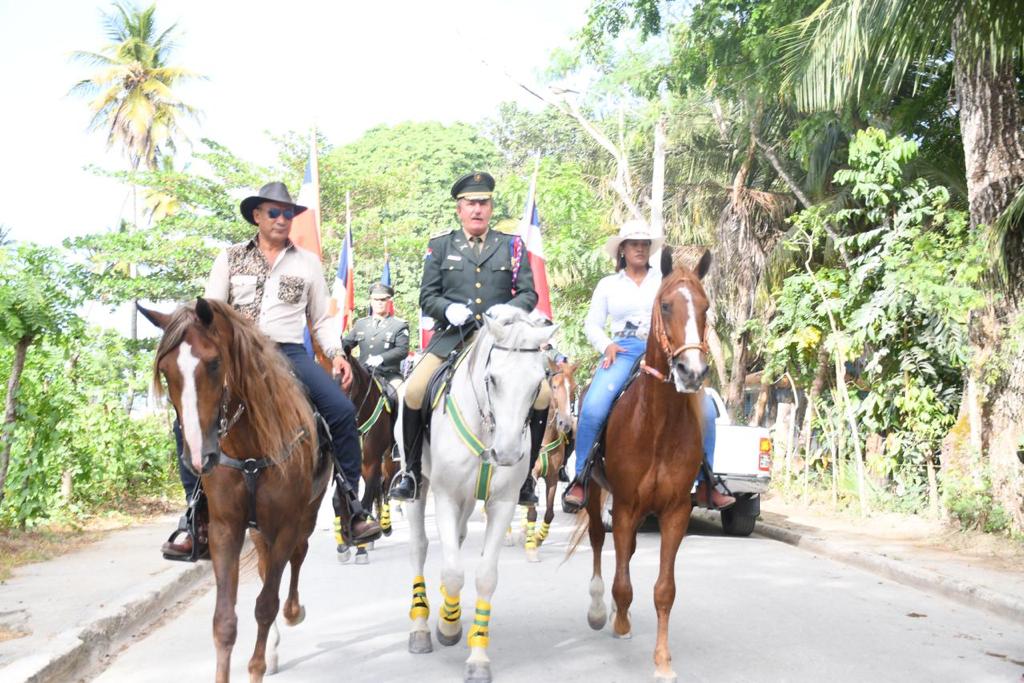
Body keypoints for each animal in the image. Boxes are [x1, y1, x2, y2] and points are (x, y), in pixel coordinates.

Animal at [140, 301, 329, 683]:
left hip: (307, 514)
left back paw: (293, 612)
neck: (250, 450)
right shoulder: (226, 529)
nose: (200, 457)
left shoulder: (287, 525)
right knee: (267, 566)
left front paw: (257, 666)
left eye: (214, 363)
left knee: (297, 556)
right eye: (166, 371)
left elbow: (266, 605)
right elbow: (225, 621)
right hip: (258, 529)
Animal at [399, 305, 561, 683]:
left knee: (456, 540)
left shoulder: (501, 503)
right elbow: (453, 572)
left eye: (537, 384)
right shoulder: (444, 495)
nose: (506, 454)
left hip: (469, 499)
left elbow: (484, 576)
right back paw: (421, 627)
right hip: (420, 487)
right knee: (419, 547)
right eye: (493, 379)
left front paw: (477, 657)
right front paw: (447, 627)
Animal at [577, 250, 712, 683]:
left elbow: (664, 590)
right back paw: (599, 610)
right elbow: (621, 579)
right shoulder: (622, 506)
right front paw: (618, 621)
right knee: (600, 544)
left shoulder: (675, 511)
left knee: (629, 551)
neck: (658, 424)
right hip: (596, 494)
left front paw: (663, 661)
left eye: (705, 307)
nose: (692, 372)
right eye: (666, 305)